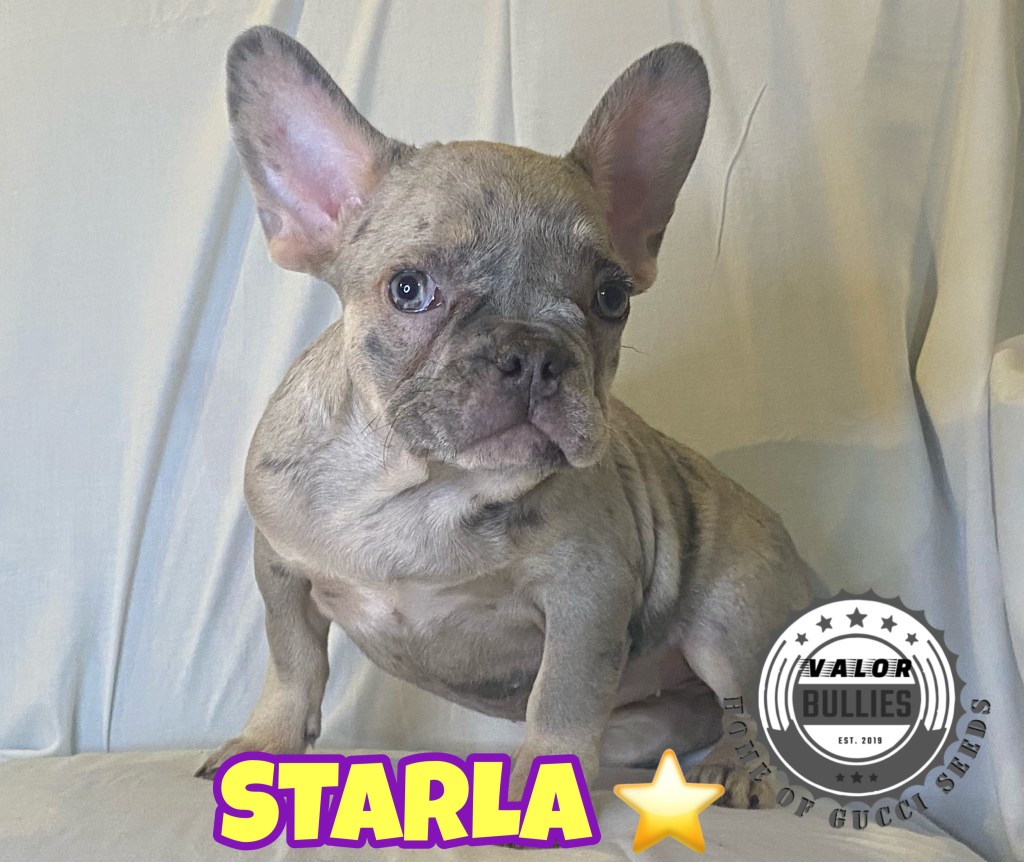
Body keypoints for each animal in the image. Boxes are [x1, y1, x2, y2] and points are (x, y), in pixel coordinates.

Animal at [196, 26, 812, 809]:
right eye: (409, 289)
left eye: (612, 297)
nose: (534, 354)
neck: (422, 485)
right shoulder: (279, 566)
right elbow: (292, 661)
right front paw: (267, 746)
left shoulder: (587, 596)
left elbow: (561, 697)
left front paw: (547, 786)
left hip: (732, 619)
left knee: (752, 712)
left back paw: (741, 770)